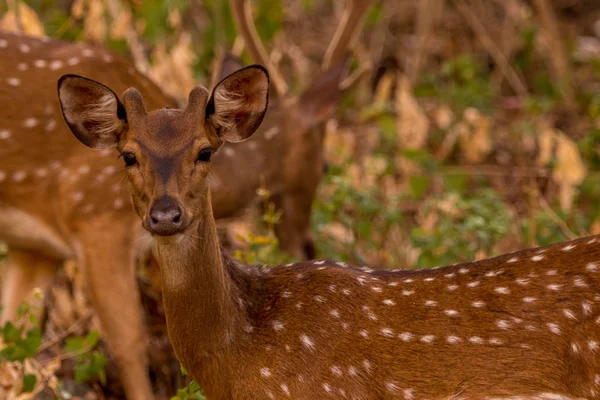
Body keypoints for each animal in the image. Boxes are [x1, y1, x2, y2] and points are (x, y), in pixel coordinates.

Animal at [0, 3, 366, 396]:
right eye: (326, 166)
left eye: (205, 152)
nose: (307, 245)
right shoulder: (95, 217)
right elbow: (130, 343)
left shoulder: (38, 247)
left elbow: (14, 347)